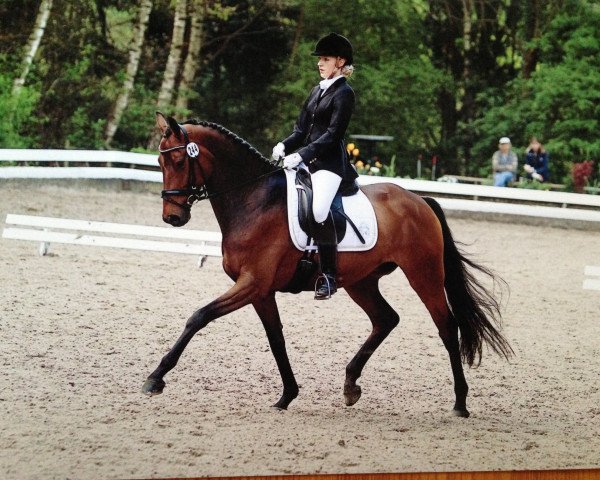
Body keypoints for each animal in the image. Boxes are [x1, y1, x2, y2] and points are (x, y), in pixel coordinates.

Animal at [142, 112, 510, 416]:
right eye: (161, 161)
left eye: (178, 159)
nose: (172, 217)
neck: (253, 200)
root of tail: (420, 200)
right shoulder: (260, 291)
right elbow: (276, 339)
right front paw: (287, 395)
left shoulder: (252, 283)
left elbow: (198, 317)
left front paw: (155, 378)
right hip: (361, 281)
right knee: (386, 319)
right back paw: (350, 386)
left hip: (425, 275)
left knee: (447, 327)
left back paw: (460, 403)